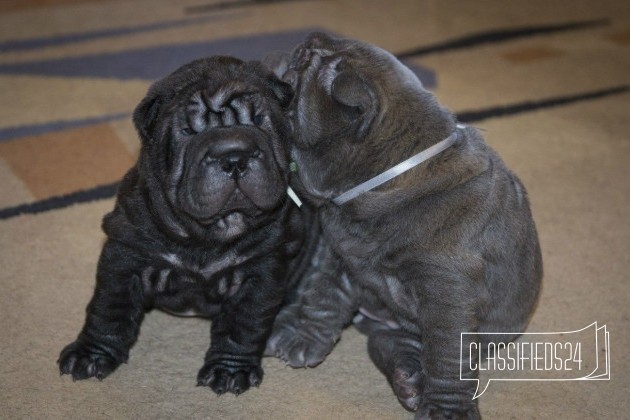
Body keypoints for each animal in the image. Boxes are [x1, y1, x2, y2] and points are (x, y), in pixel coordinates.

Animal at [58, 56, 308, 398]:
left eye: (259, 121)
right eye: (189, 130)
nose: (234, 155)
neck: (206, 236)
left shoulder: (261, 270)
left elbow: (244, 324)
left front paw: (230, 370)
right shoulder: (124, 253)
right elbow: (108, 308)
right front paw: (91, 354)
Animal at [266, 33, 544, 420]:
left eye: (299, 68)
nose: (304, 41)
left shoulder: (447, 292)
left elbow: (447, 355)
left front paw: (446, 409)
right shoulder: (338, 255)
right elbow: (323, 296)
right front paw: (304, 337)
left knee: (403, 344)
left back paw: (410, 379)